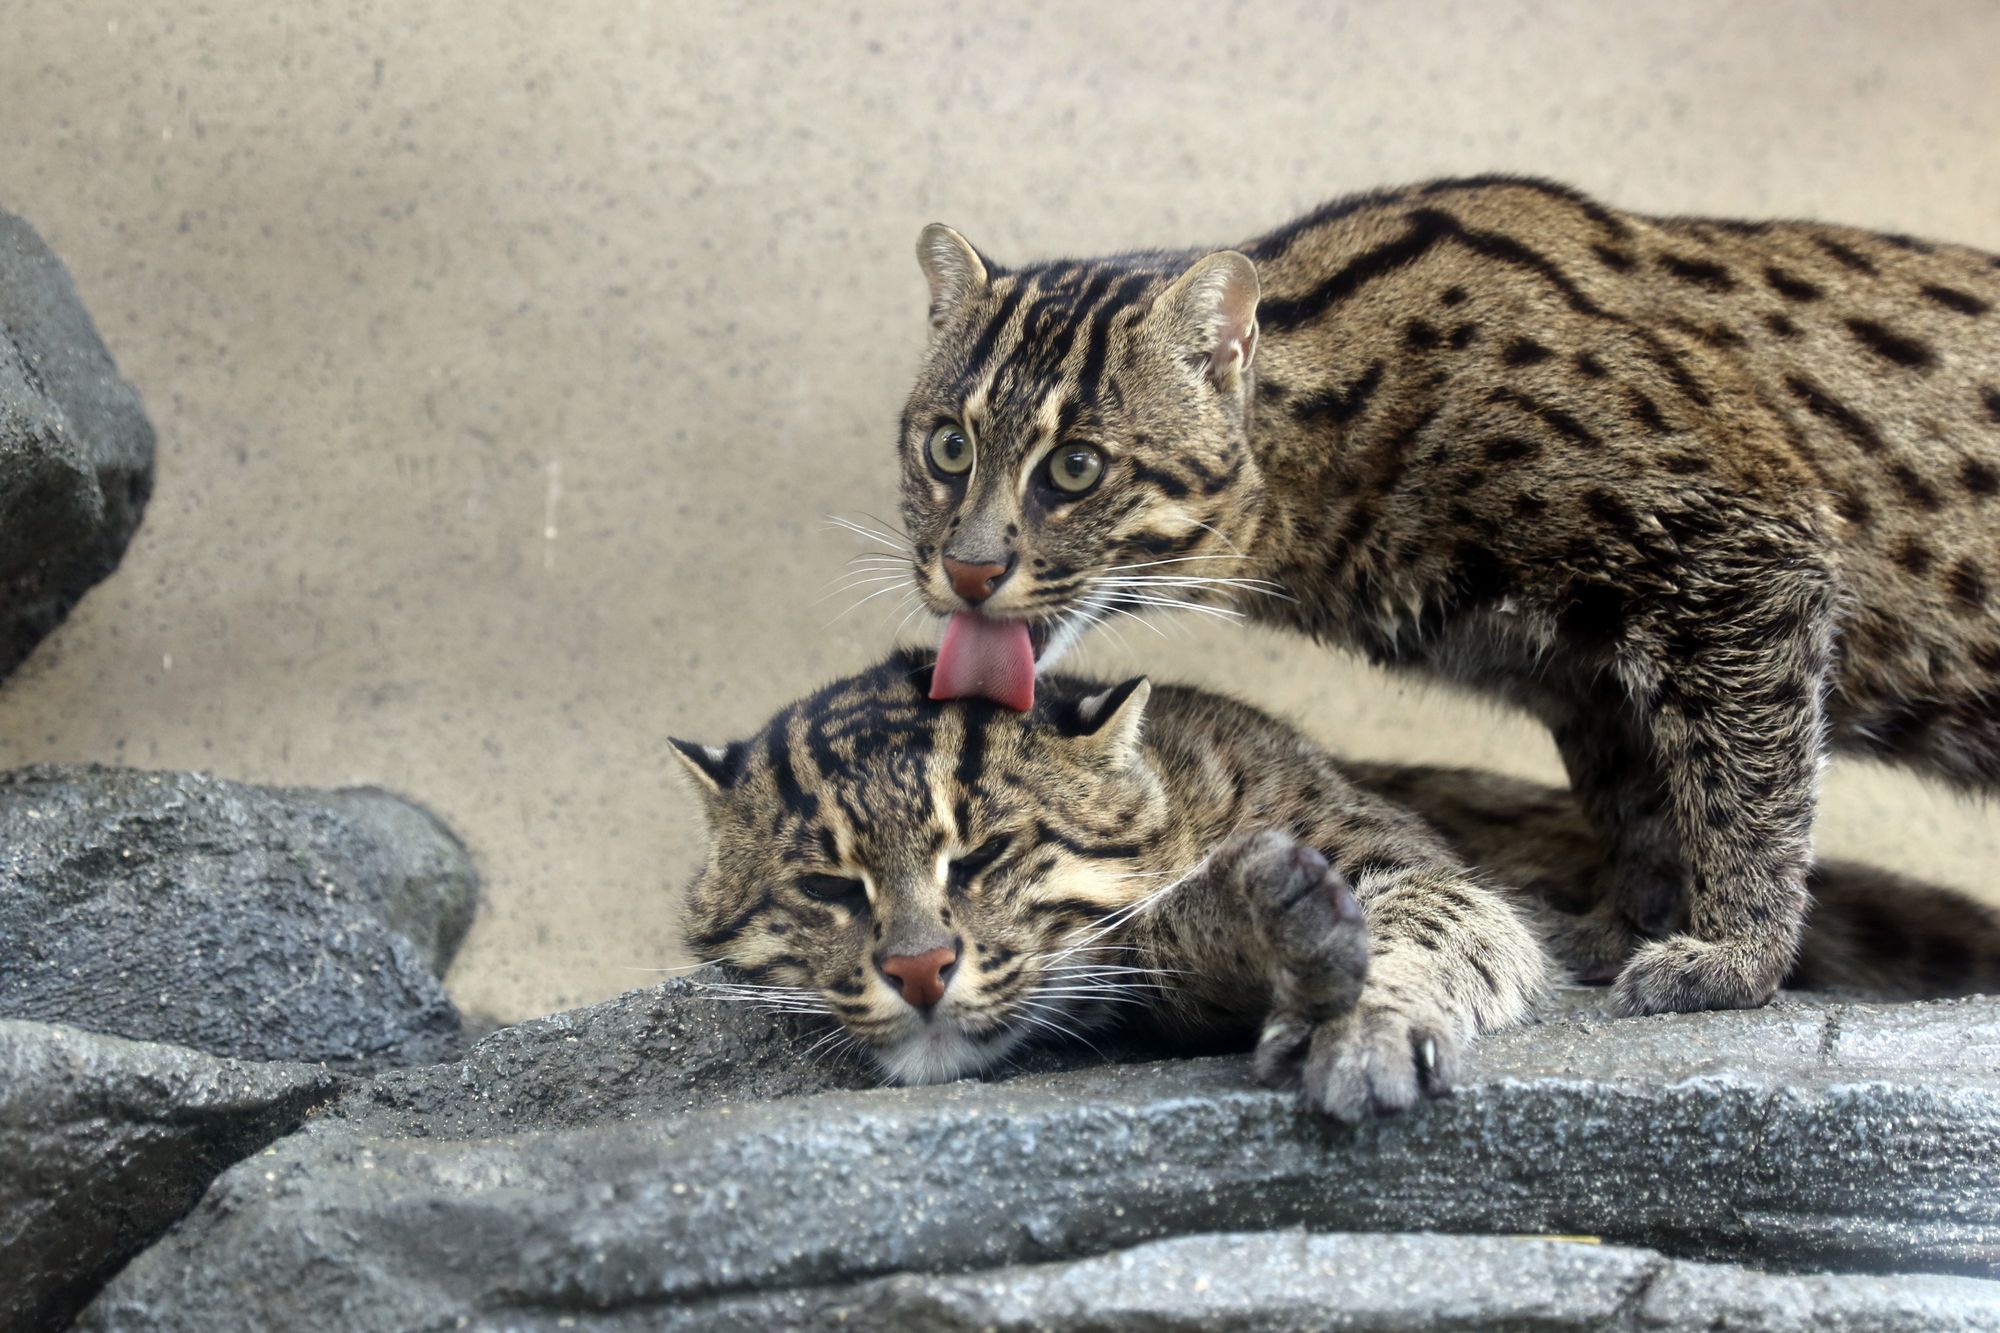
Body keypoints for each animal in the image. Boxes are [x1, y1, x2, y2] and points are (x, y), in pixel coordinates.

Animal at [676, 648, 2000, 1112]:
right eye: (825, 889)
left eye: (988, 853)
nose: (914, 967)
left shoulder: (1406, 861)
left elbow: (1425, 923)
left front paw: (1358, 1018)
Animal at [896, 174, 2000, 1008]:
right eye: (945, 447)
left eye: (1075, 467)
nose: (967, 567)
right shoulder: (1581, 672)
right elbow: (1637, 804)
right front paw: (1619, 927)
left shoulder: (1744, 554)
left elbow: (1744, 789)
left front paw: (1735, 954)